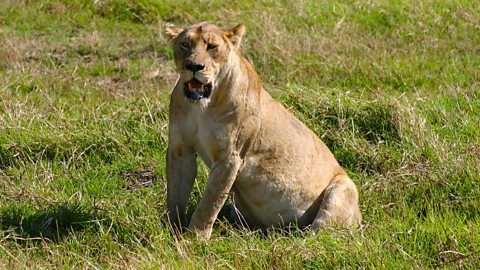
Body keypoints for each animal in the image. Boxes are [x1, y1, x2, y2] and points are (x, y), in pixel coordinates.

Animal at [162, 22, 360, 238]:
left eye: (212, 46)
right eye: (185, 44)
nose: (193, 66)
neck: (202, 106)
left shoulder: (230, 156)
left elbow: (210, 202)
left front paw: (194, 239)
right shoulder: (180, 149)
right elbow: (175, 195)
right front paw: (171, 231)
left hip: (342, 187)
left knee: (318, 235)